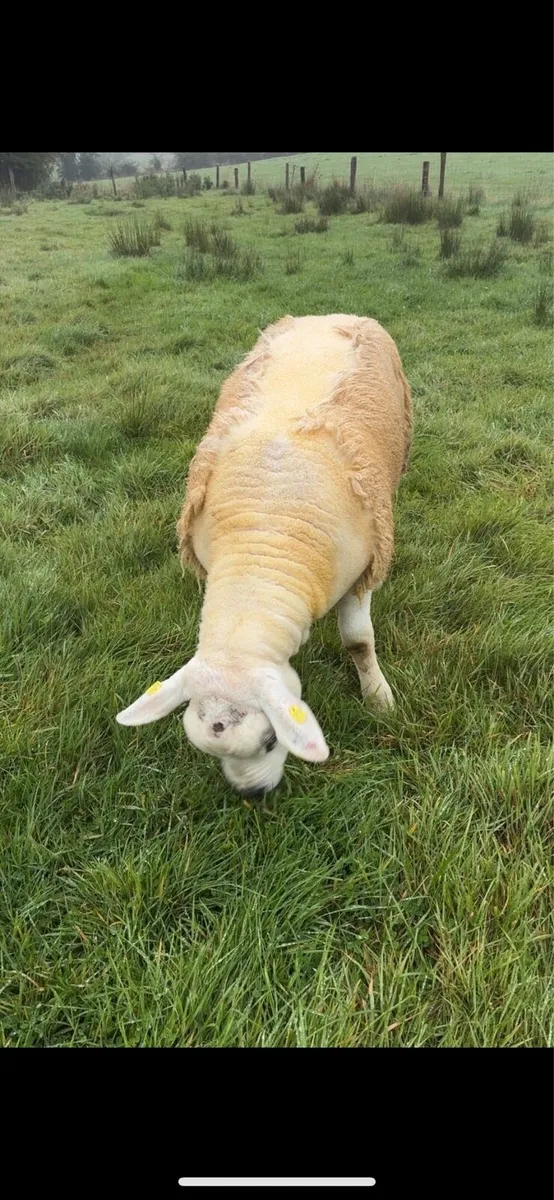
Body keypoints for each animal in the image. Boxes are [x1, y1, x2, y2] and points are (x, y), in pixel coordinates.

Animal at [116, 313, 412, 796]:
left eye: (273, 740)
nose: (252, 795)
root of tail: (330, 314)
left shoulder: (363, 568)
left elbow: (358, 641)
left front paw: (378, 698)